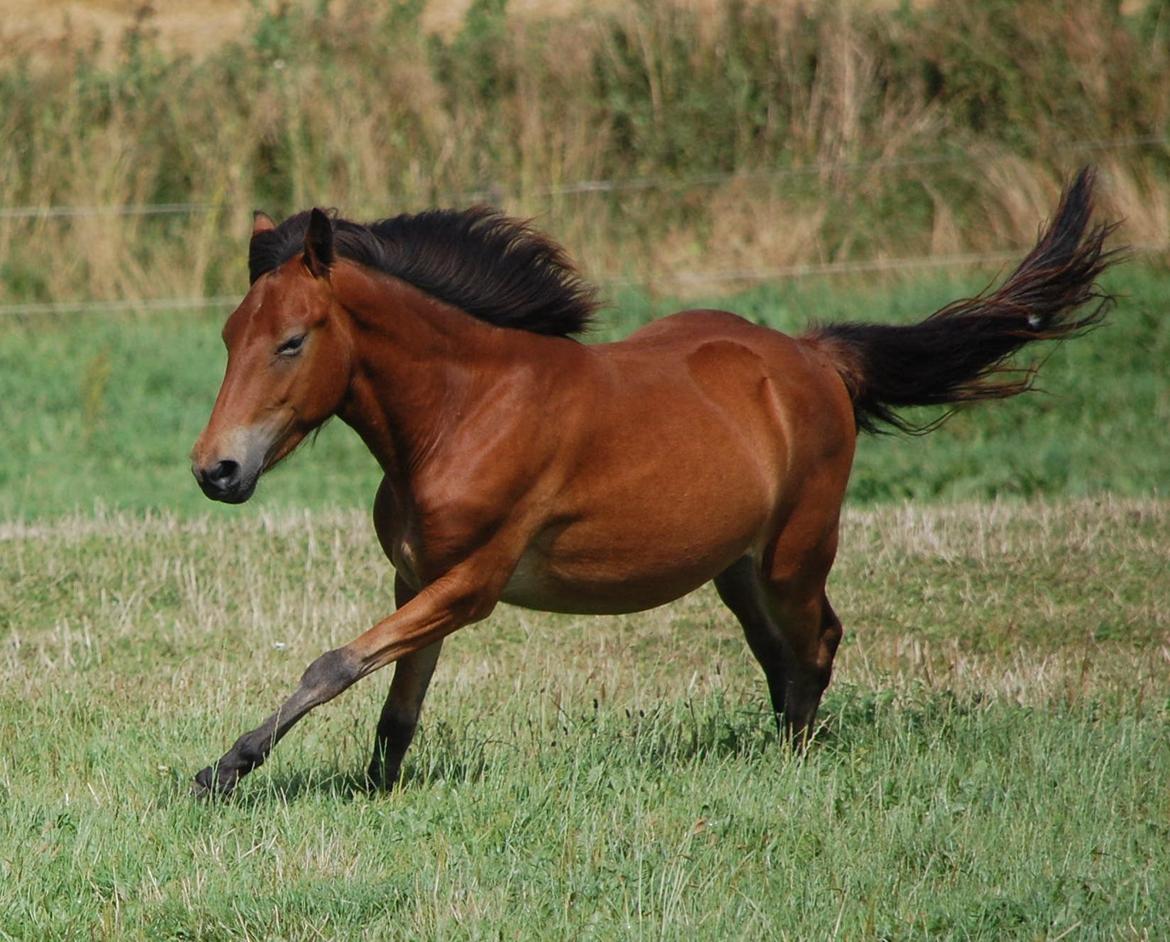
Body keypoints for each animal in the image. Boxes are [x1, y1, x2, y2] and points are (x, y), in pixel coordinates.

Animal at [189, 167, 1113, 795]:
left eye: (292, 341)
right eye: (230, 336)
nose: (216, 469)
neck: (462, 410)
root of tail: (817, 356)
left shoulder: (471, 584)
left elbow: (334, 664)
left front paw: (227, 766)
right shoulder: (417, 579)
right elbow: (396, 705)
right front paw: (374, 793)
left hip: (794, 556)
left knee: (817, 644)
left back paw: (794, 763)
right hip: (736, 570)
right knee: (781, 657)